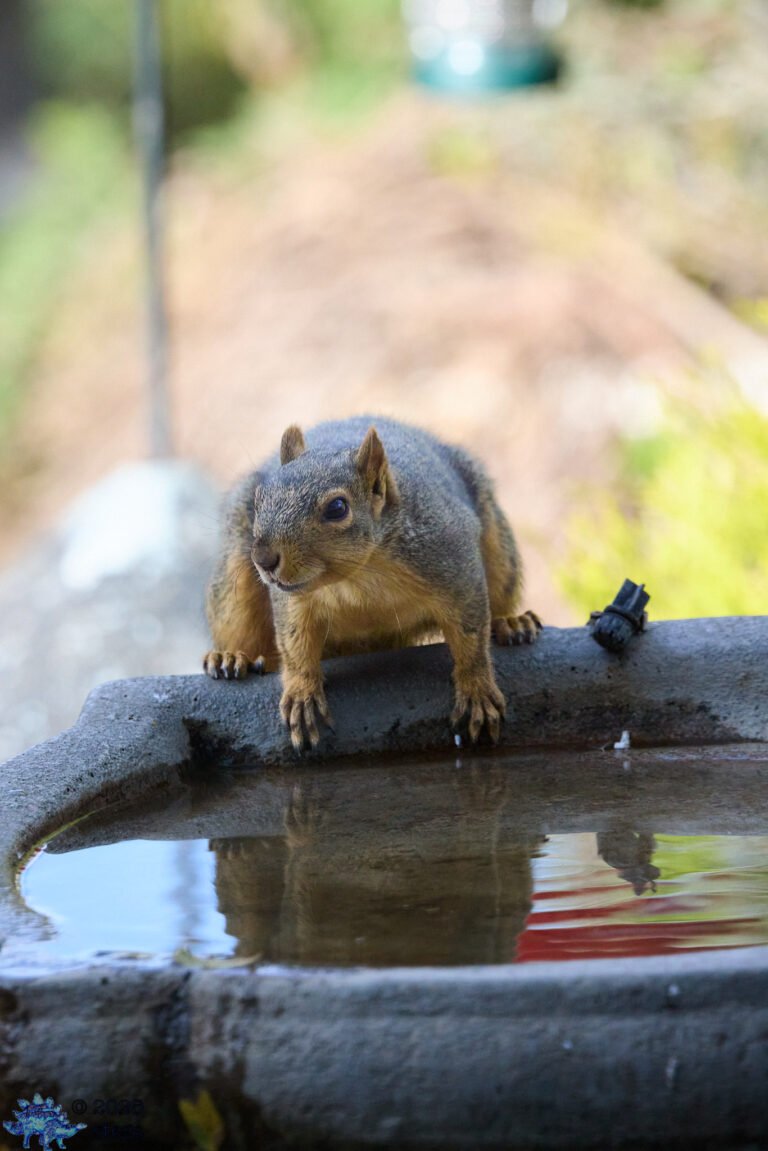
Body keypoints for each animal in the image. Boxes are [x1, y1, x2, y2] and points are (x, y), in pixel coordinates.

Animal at [203, 416, 541, 750]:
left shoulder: (455, 561)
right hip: (233, 581)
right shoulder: (294, 600)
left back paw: (512, 623)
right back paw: (230, 658)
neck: (359, 575)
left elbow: (471, 636)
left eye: (337, 508)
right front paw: (302, 693)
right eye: (259, 499)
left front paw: (477, 691)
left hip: (498, 549)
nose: (263, 559)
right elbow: (295, 644)